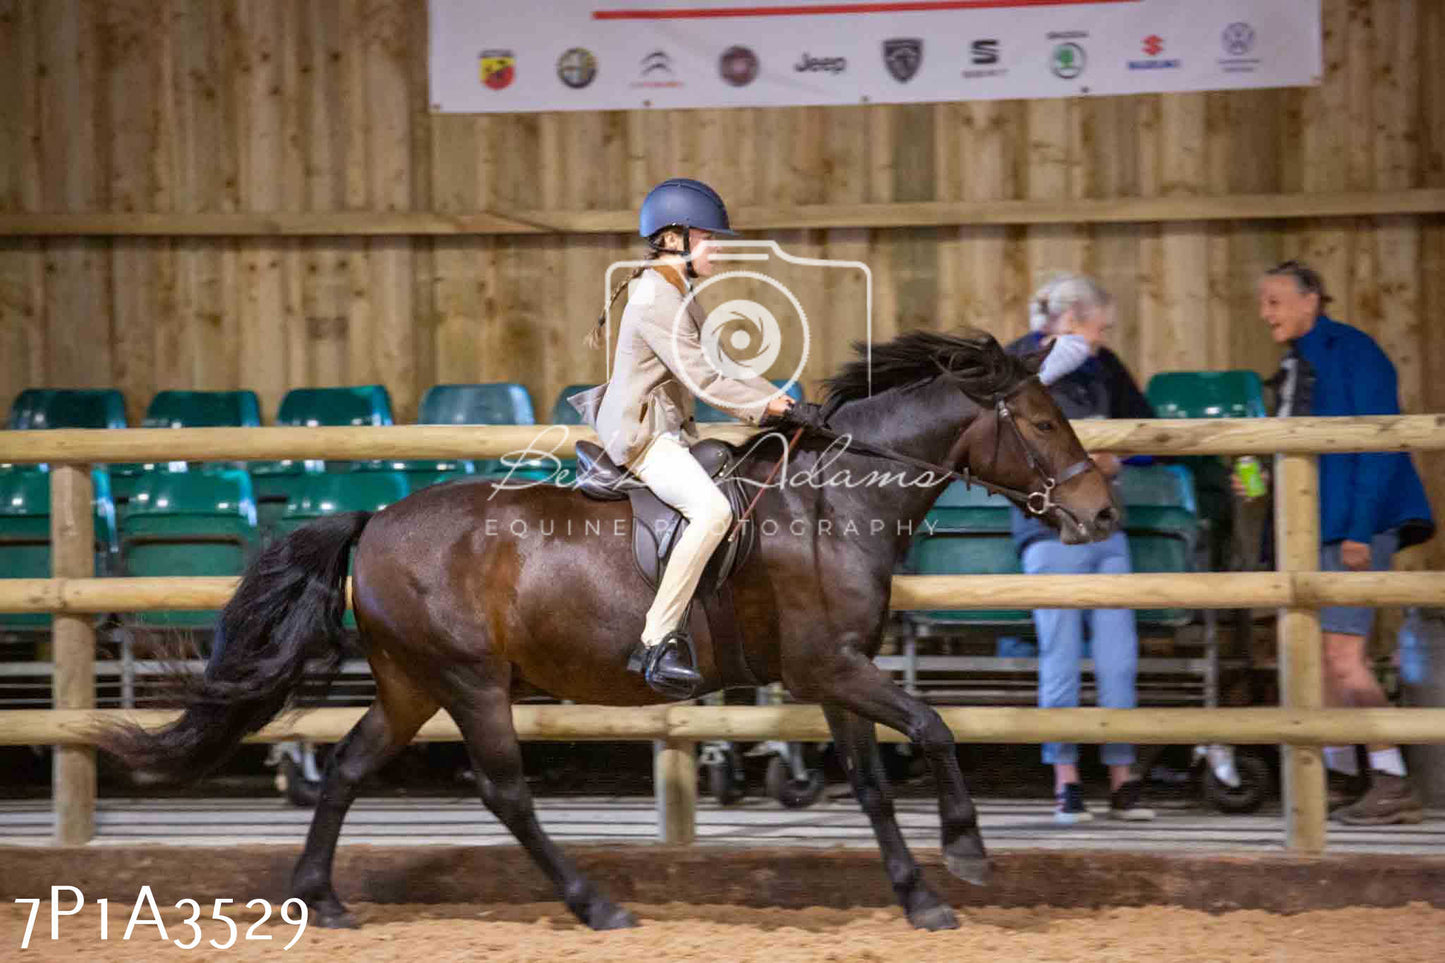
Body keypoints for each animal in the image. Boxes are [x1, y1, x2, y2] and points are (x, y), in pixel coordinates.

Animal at [98, 328, 1115, 931]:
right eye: (1038, 420)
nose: (1099, 515)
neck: (834, 503)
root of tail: (375, 517)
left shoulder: (836, 673)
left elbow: (869, 785)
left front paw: (920, 899)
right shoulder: (832, 668)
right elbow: (935, 729)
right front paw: (968, 852)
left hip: (411, 683)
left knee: (347, 767)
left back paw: (322, 899)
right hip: (470, 682)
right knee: (504, 791)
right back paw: (594, 903)